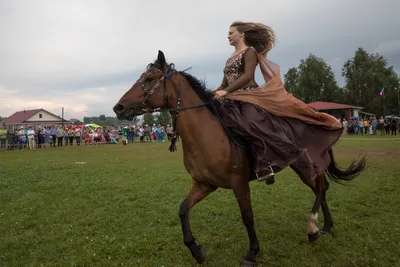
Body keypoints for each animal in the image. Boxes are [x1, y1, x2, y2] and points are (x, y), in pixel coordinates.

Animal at [112, 50, 366, 267]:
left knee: (321, 187)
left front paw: (252, 253)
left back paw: (313, 228)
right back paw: (326, 226)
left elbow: (247, 216)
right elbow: (183, 210)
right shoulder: (205, 184)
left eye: (148, 78)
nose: (118, 107)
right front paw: (197, 250)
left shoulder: (239, 182)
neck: (207, 134)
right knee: (322, 187)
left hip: (304, 166)